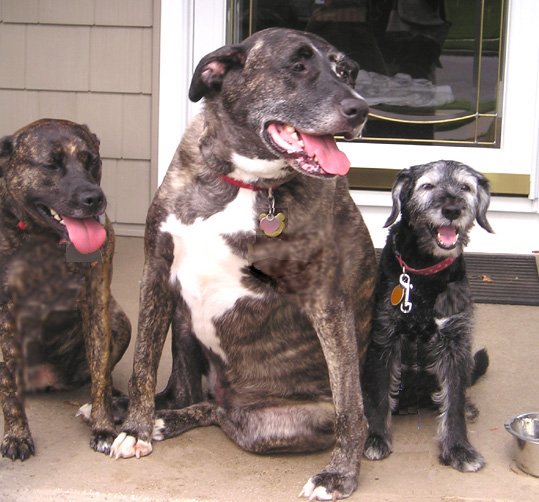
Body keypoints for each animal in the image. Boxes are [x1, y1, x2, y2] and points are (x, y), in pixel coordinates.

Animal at [0, 119, 131, 460]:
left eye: (92, 160)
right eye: (51, 165)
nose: (93, 197)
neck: (45, 237)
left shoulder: (96, 301)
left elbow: (100, 372)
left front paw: (103, 427)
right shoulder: (5, 312)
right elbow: (9, 387)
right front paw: (16, 435)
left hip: (119, 321)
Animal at [110, 29, 376, 500]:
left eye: (347, 72)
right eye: (297, 65)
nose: (360, 108)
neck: (245, 182)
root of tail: (234, 395)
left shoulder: (327, 302)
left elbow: (350, 403)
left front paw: (340, 474)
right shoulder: (156, 272)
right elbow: (143, 361)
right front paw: (135, 428)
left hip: (268, 424)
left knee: (223, 415)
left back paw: (171, 419)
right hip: (183, 318)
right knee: (188, 393)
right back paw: (157, 415)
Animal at [362, 162, 494, 474]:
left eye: (465, 187)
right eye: (428, 186)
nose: (452, 210)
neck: (425, 275)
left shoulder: (455, 342)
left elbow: (454, 400)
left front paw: (459, 448)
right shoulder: (384, 338)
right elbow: (379, 393)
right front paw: (376, 437)